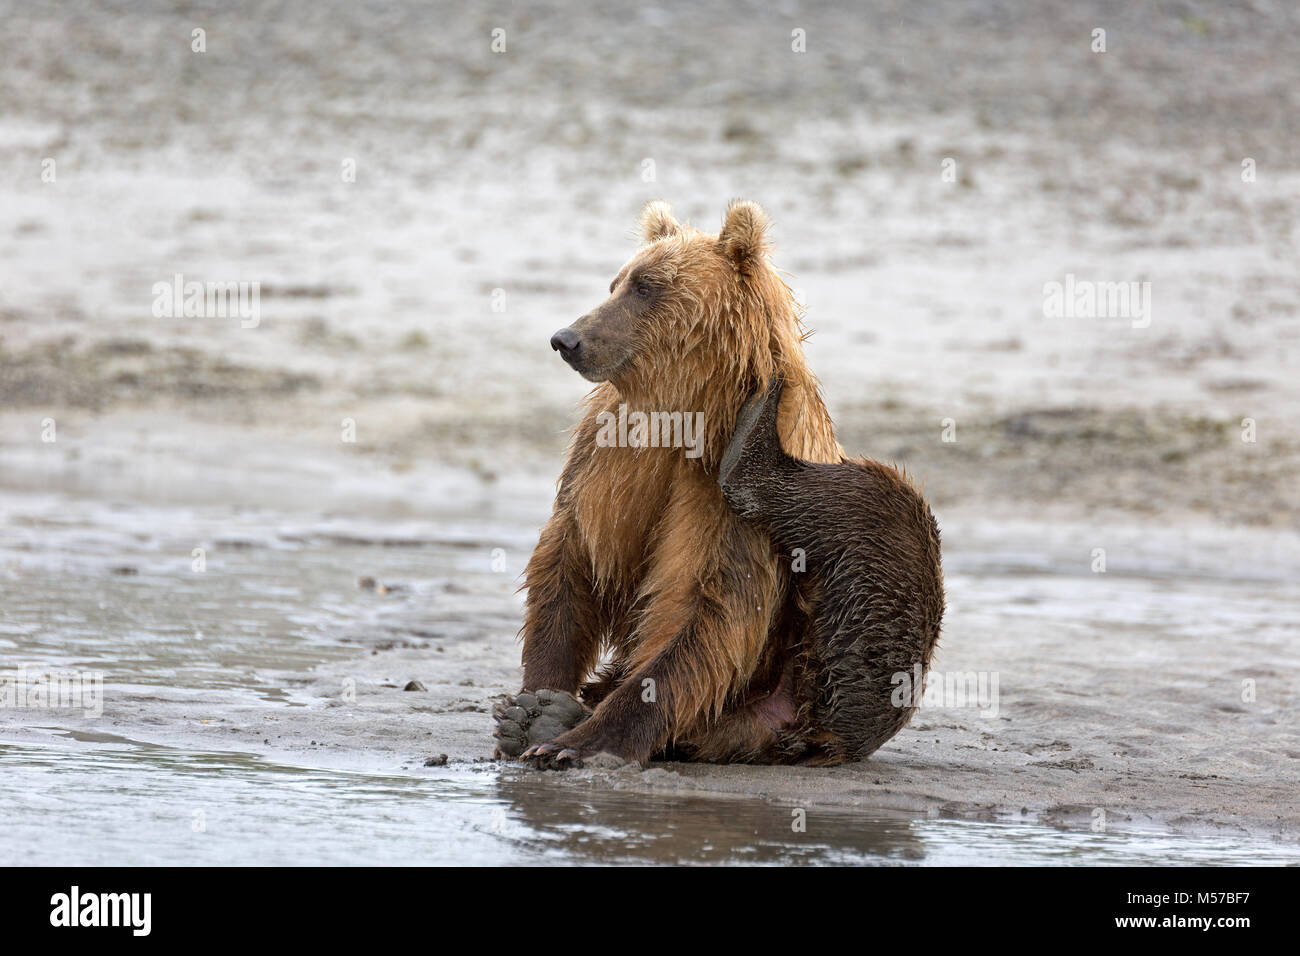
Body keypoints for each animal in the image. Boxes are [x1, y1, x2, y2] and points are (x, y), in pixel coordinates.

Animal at [493, 201, 946, 770]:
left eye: (645, 286)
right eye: (616, 282)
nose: (567, 338)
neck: (684, 413)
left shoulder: (712, 498)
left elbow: (709, 603)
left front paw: (575, 743)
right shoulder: (608, 458)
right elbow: (572, 556)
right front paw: (533, 706)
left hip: (841, 659)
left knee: (880, 515)